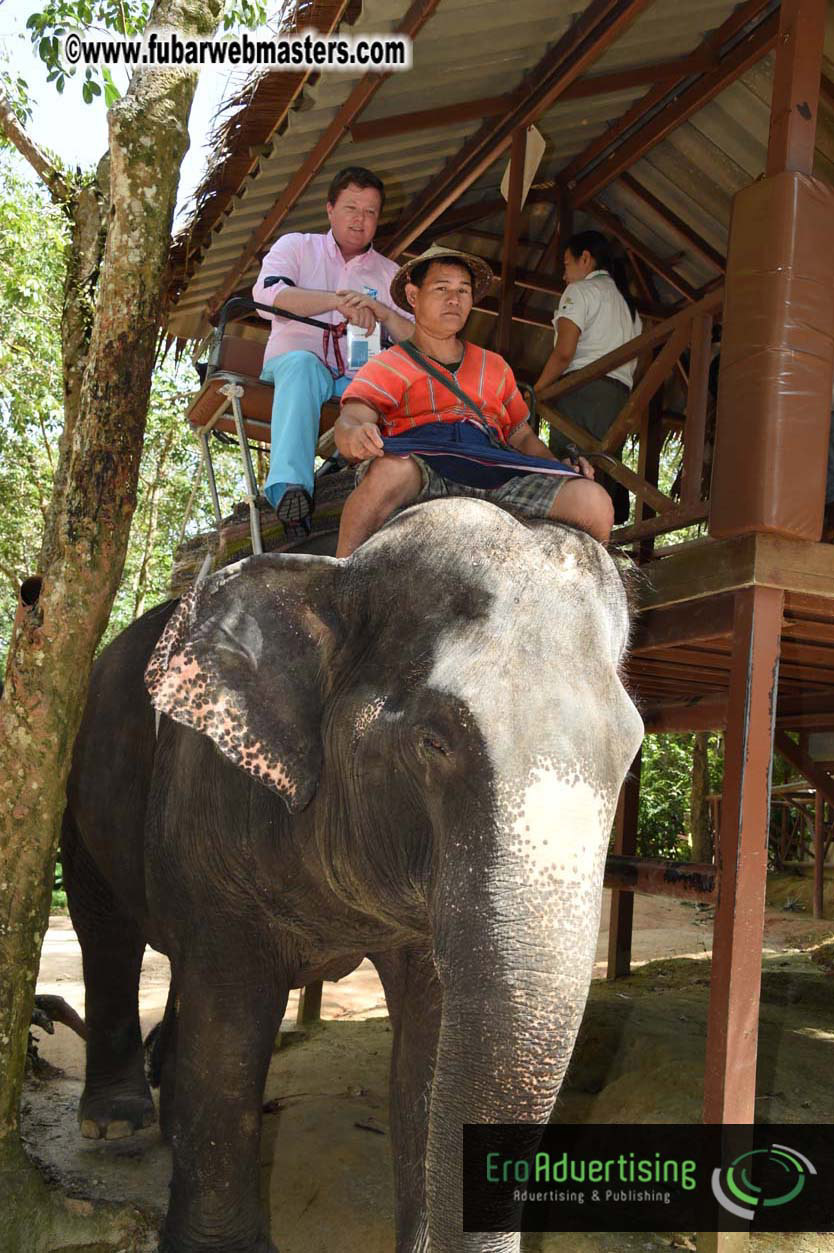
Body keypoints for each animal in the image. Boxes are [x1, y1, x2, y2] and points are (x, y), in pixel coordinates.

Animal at [61, 496, 643, 1253]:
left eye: (630, 754)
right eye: (433, 740)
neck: (331, 570)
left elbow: (428, 1045)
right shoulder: (211, 812)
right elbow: (227, 1044)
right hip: (79, 780)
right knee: (106, 934)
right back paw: (115, 1122)